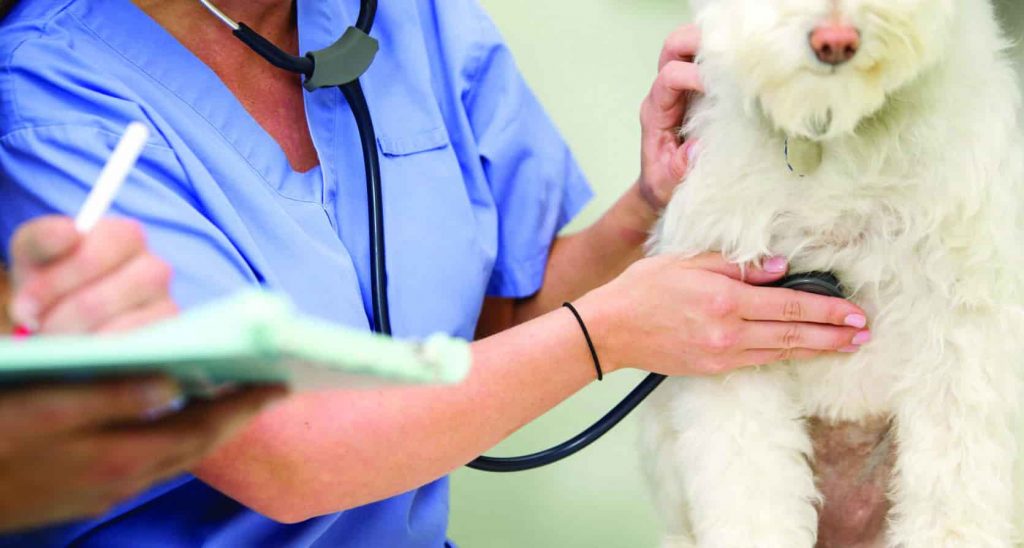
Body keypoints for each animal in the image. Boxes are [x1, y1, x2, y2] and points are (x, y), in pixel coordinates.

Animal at [643, 2, 1019, 544]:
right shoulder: (732, 338)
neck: (831, 128)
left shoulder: (963, 326)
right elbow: (749, 492)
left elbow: (956, 489)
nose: (834, 42)